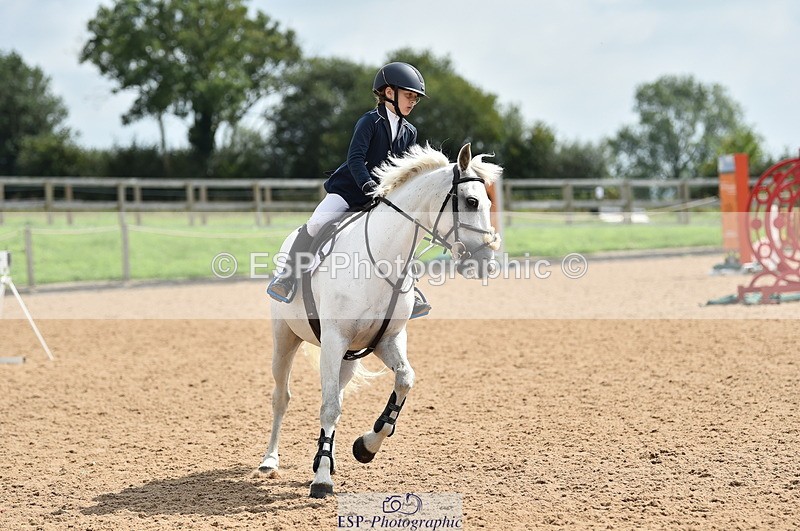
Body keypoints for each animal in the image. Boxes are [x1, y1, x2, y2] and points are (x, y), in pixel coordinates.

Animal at [257, 143, 502, 498]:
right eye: (471, 202)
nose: (487, 263)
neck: (384, 260)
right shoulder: (334, 340)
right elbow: (328, 407)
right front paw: (322, 481)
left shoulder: (389, 340)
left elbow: (404, 380)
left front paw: (365, 447)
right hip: (286, 339)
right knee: (282, 397)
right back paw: (270, 461)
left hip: (347, 358)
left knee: (337, 394)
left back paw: (324, 458)